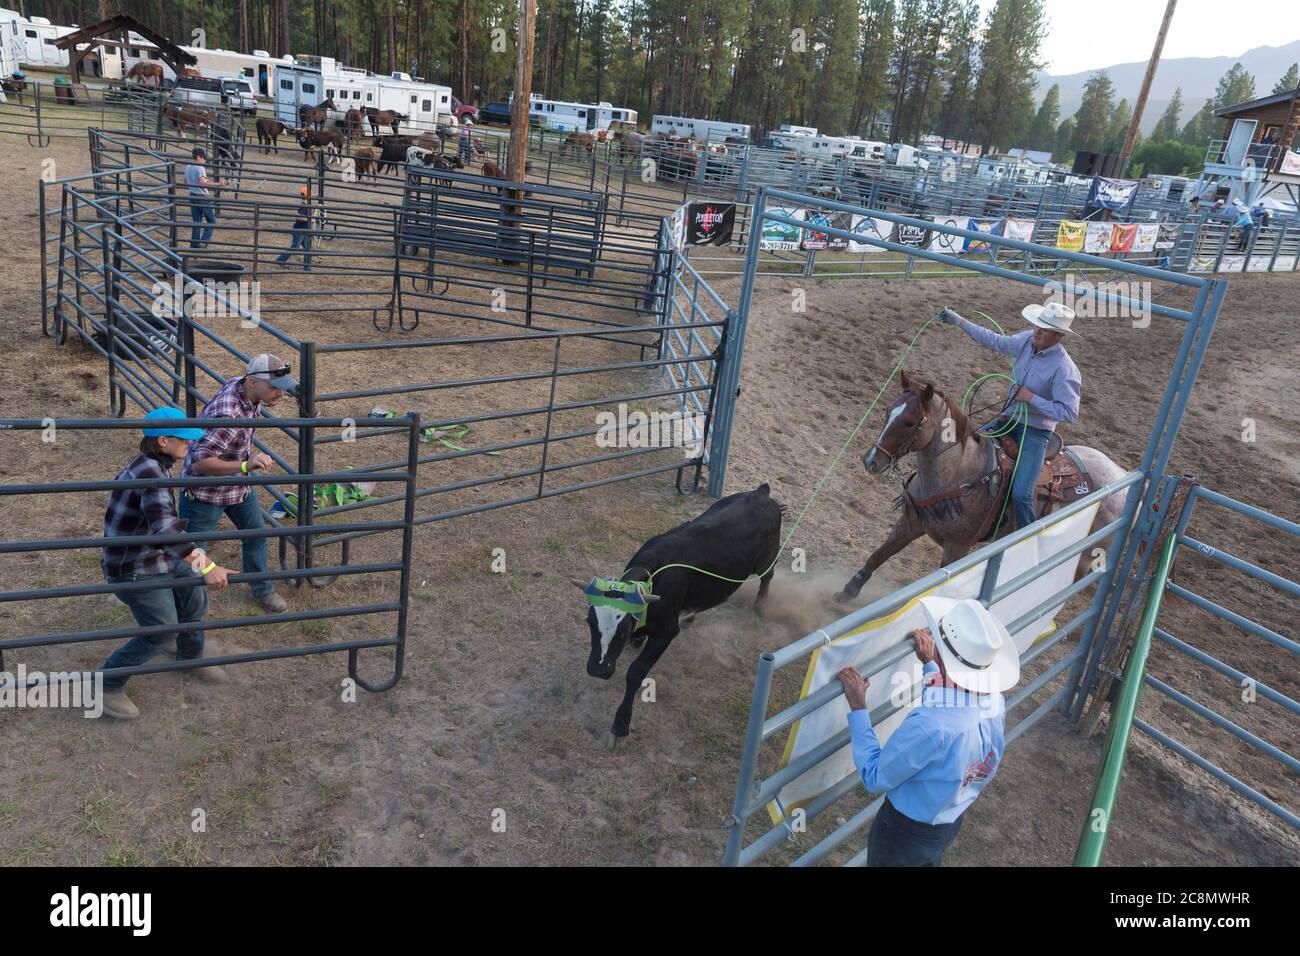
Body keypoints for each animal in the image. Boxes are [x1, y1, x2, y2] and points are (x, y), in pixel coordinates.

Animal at [832, 371, 1128, 600]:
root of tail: (1121, 474)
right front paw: (846, 592)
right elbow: (877, 556)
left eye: (909, 422)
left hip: (1088, 550)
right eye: (886, 411)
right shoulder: (911, 523)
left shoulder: (957, 547)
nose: (871, 460)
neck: (957, 474)